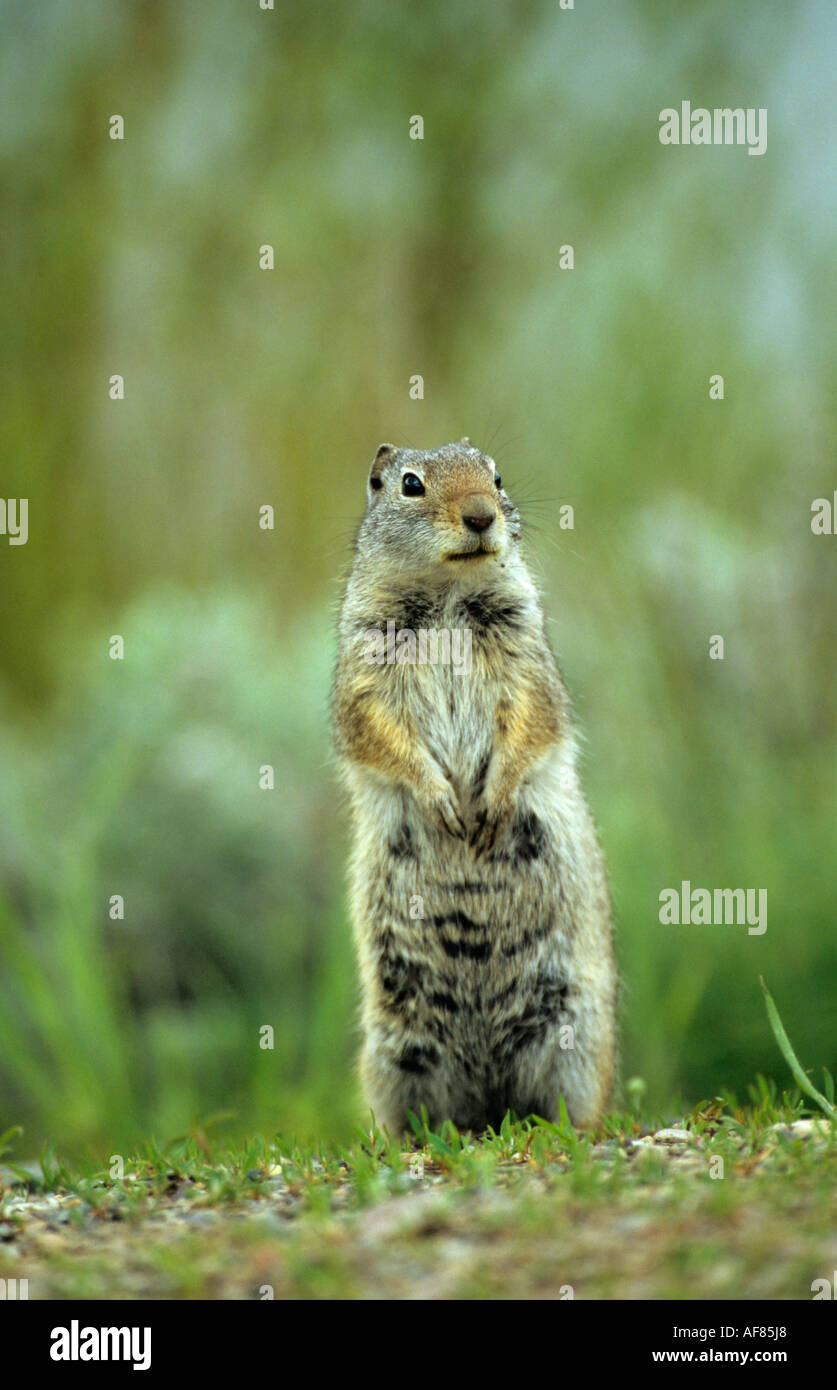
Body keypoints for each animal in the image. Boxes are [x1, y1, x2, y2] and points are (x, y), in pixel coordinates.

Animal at [333, 440, 617, 1134]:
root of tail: (490, 1105)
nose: (483, 516)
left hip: (575, 1032)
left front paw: (491, 802)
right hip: (395, 1051)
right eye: (410, 484)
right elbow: (381, 734)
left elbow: (530, 721)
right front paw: (441, 800)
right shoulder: (364, 677)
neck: (447, 595)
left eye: (496, 476)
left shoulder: (526, 660)